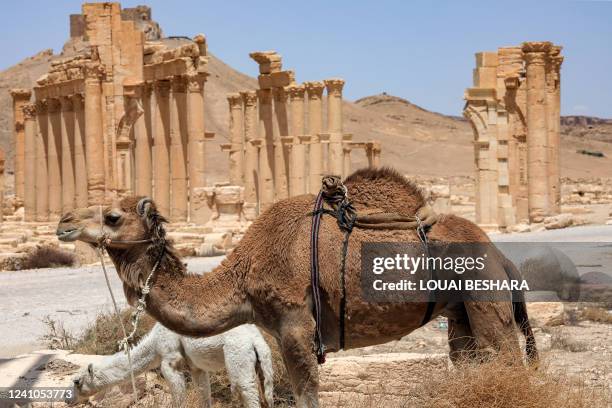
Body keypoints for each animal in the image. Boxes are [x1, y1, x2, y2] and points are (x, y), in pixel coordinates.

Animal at [73, 326, 274, 408]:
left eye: (76, 381)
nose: (69, 399)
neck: (154, 344)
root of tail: (256, 341)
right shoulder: (196, 367)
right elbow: (204, 393)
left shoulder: (170, 358)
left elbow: (178, 393)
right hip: (262, 361)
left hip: (238, 355)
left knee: (246, 389)